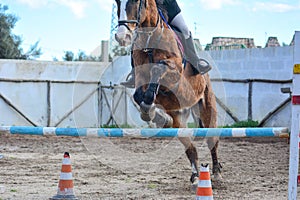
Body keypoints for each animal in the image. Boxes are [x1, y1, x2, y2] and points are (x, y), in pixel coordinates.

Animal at [113, 0, 221, 184]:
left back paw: (217, 172)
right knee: (190, 147)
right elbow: (139, 95)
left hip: (207, 108)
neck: (150, 40)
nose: (122, 36)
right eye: (117, 3)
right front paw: (151, 113)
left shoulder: (174, 71)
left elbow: (158, 68)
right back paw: (195, 175)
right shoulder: (140, 77)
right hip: (179, 118)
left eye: (135, 2)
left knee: (211, 140)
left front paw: (151, 108)